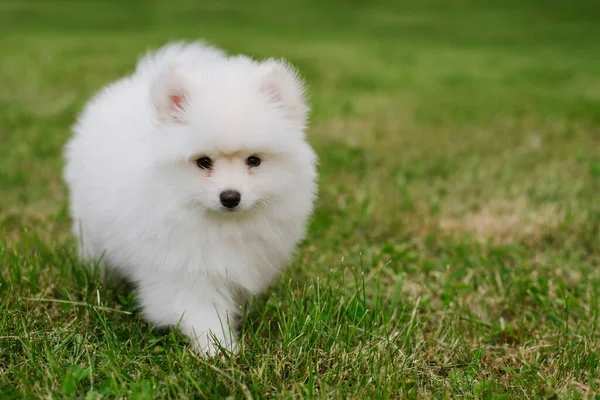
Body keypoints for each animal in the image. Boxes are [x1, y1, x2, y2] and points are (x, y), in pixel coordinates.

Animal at [63, 42, 318, 354]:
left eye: (254, 160)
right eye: (203, 162)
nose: (230, 196)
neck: (222, 225)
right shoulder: (183, 270)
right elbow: (202, 311)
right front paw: (219, 350)